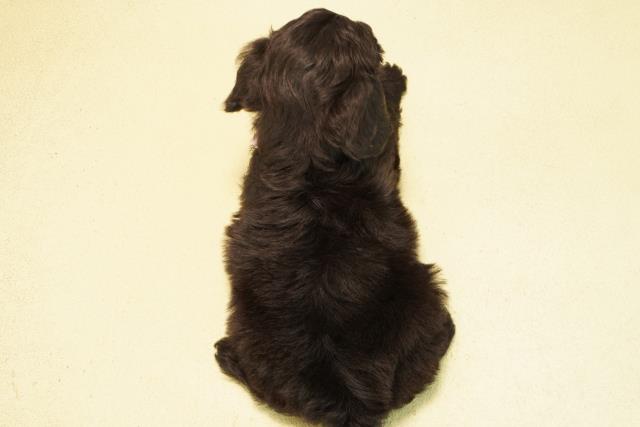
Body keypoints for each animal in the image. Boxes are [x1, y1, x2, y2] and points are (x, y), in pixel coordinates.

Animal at [215, 9, 454, 427]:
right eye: (361, 35)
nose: (367, 24)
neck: (306, 146)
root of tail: (350, 399)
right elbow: (388, 105)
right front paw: (393, 75)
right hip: (427, 293)